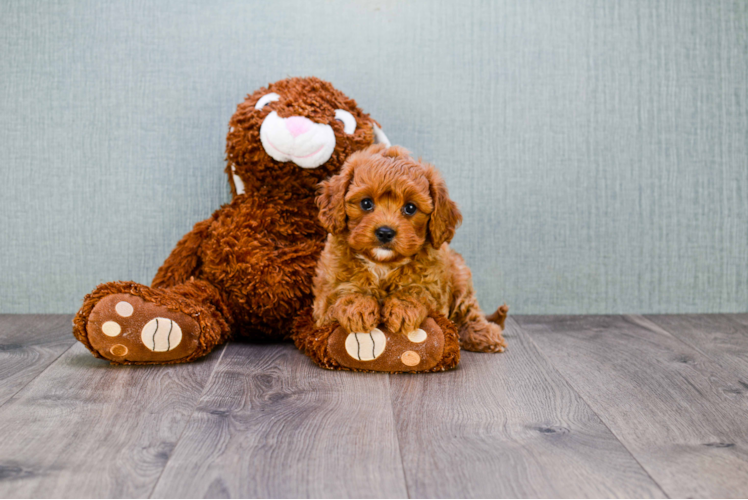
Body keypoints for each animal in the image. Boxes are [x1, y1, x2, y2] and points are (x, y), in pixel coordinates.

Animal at [310, 145, 508, 354]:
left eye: (410, 208)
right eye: (366, 203)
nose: (385, 232)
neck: (382, 264)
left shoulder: (434, 288)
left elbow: (418, 291)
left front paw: (403, 308)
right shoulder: (325, 299)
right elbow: (343, 293)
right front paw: (358, 307)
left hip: (460, 276)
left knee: (469, 311)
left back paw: (484, 335)